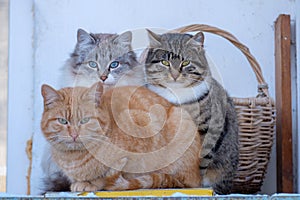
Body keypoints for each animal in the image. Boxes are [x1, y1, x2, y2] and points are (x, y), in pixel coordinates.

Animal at [40, 82, 202, 191]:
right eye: (62, 121)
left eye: (85, 120)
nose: (74, 134)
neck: (74, 157)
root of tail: (197, 176)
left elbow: (115, 176)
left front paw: (95, 183)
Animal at [143, 30, 239, 195]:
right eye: (165, 62)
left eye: (186, 62)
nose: (175, 75)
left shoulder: (209, 128)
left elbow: (201, 159)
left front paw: (195, 184)